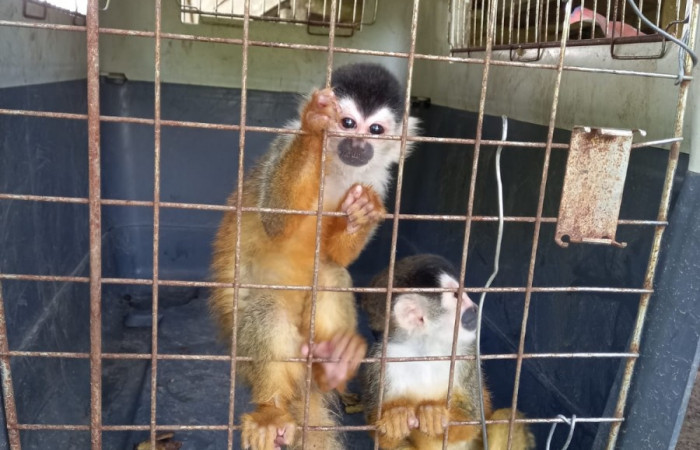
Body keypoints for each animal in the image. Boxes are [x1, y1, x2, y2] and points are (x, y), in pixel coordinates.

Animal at [209, 63, 419, 450]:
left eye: (375, 130)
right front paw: (315, 124)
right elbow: (275, 219)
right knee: (266, 309)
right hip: (242, 349)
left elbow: (338, 256)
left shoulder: (377, 181)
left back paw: (332, 367)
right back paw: (271, 409)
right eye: (348, 123)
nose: (357, 145)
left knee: (331, 275)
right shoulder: (282, 143)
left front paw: (361, 213)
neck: (339, 169)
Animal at [360, 254, 535, 450]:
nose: (475, 307)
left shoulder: (466, 354)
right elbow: (379, 434)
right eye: (456, 295)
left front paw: (436, 415)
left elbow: (472, 419)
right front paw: (394, 419)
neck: (426, 350)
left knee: (503, 420)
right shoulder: (379, 362)